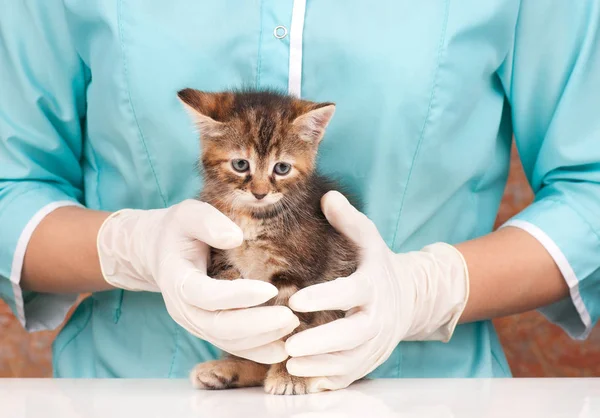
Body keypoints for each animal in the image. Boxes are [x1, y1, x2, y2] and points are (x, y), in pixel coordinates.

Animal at [176, 88, 358, 396]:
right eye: (240, 164)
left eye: (282, 168)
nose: (260, 193)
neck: (255, 218)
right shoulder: (221, 249)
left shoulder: (302, 277)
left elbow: (294, 334)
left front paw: (289, 376)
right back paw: (225, 370)